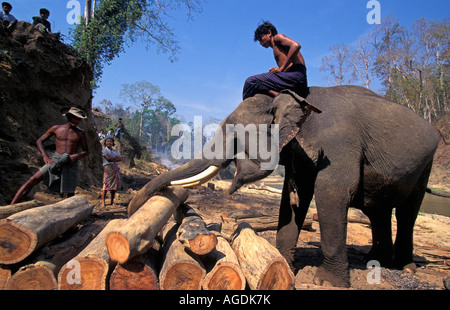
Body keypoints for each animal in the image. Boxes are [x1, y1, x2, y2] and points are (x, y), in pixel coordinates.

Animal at [126, 85, 440, 288]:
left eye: (234, 131)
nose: (130, 210)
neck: (296, 98)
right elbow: (294, 198)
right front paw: (286, 266)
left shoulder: (337, 144)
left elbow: (332, 192)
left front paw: (326, 282)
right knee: (379, 211)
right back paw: (375, 259)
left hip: (426, 164)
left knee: (407, 211)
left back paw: (404, 265)